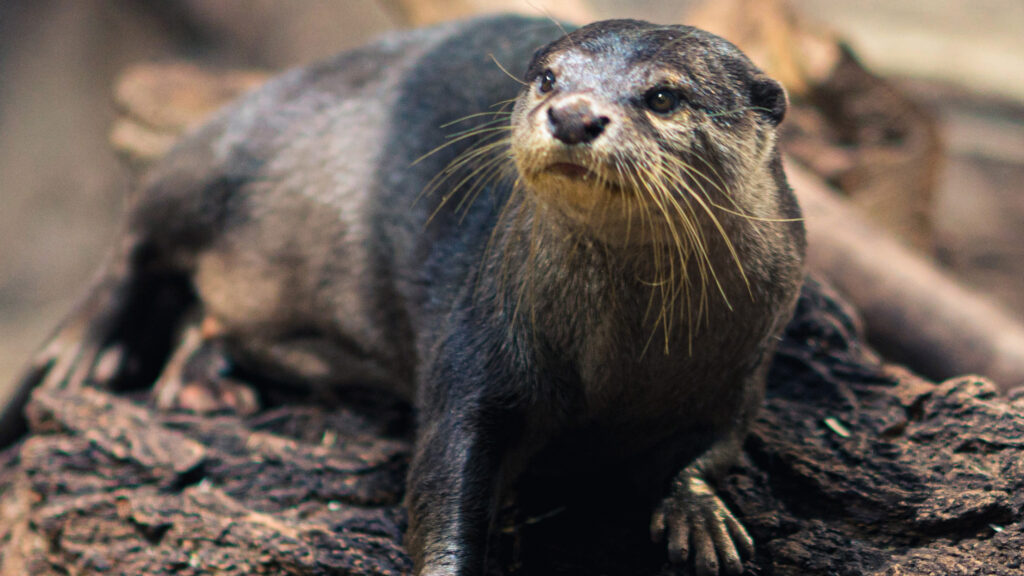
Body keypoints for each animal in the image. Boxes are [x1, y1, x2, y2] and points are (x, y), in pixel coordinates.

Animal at [1, 15, 804, 576]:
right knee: (135, 240)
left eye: (664, 95)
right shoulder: (480, 341)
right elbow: (443, 470)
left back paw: (204, 381)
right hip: (208, 158)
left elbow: (717, 447)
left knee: (212, 319)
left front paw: (700, 518)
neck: (624, 360)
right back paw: (87, 351)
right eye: (547, 78)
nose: (573, 113)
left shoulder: (747, 361)